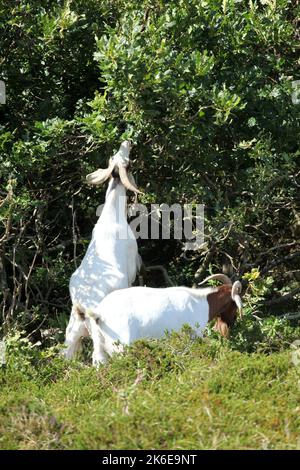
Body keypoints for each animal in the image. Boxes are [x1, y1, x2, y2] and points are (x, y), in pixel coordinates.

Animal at [62, 140, 142, 364]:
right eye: (128, 162)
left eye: (112, 156)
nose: (127, 141)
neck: (112, 216)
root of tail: (83, 305)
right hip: (101, 329)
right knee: (98, 356)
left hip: (73, 328)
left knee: (66, 353)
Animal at [87, 272, 244, 364]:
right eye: (234, 306)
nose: (231, 323)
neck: (202, 303)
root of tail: (100, 313)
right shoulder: (193, 335)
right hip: (122, 346)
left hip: (99, 344)